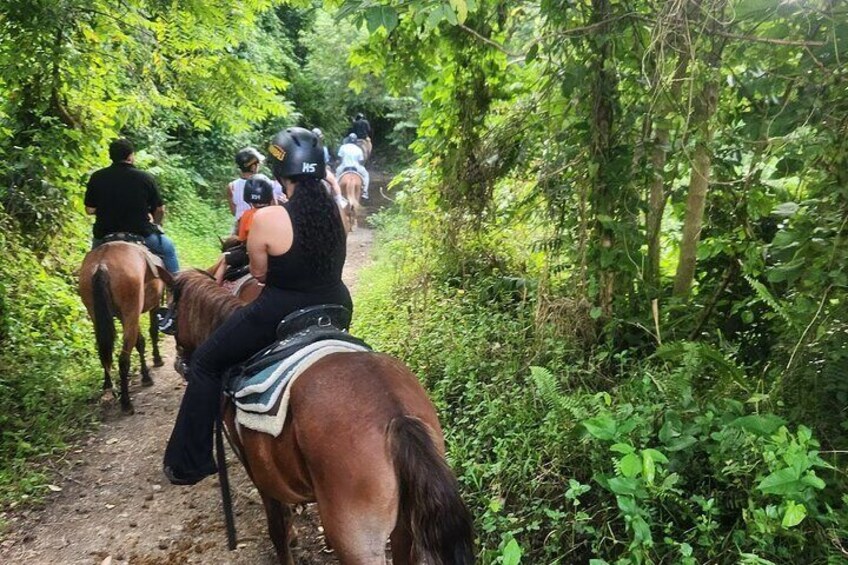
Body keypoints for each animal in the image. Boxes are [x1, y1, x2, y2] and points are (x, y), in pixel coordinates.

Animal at [79, 240, 166, 412]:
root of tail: (102, 264)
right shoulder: (151, 306)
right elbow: (152, 332)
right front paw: (157, 360)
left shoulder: (131, 315)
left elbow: (140, 342)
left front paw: (146, 375)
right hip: (131, 310)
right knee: (123, 359)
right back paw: (126, 401)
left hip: (97, 313)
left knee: (104, 352)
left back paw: (108, 388)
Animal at [171, 270, 476, 560]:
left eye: (172, 307)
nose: (179, 362)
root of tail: (396, 416)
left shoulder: (260, 475)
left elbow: (278, 530)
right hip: (403, 530)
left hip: (359, 541)